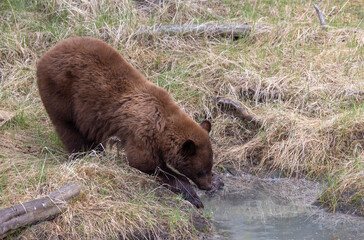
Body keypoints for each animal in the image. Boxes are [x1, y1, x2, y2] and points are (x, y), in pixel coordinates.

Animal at [36, 36, 213, 207]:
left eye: (210, 166)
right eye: (202, 171)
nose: (208, 186)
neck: (162, 125)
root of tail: (46, 54)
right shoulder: (141, 133)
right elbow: (145, 162)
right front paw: (191, 194)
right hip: (61, 92)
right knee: (69, 129)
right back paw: (84, 153)